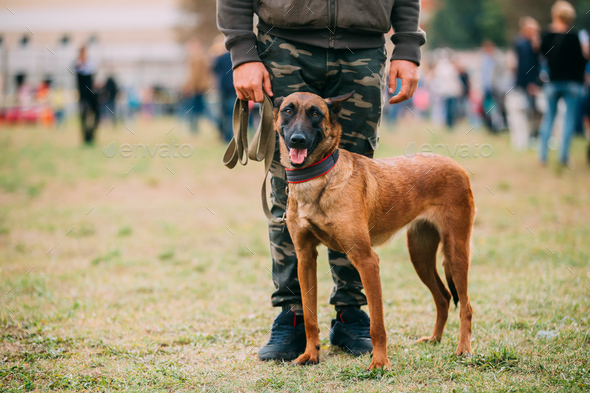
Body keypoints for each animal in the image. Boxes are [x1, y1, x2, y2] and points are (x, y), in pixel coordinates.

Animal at [276, 90, 478, 370]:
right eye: (288, 111)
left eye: (315, 113)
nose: (297, 139)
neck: (318, 180)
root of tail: (454, 164)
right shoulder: (305, 258)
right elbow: (308, 316)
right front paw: (310, 355)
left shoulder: (366, 260)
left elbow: (377, 324)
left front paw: (380, 362)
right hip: (420, 255)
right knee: (444, 297)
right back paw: (434, 339)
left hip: (455, 251)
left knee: (466, 305)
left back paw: (464, 349)